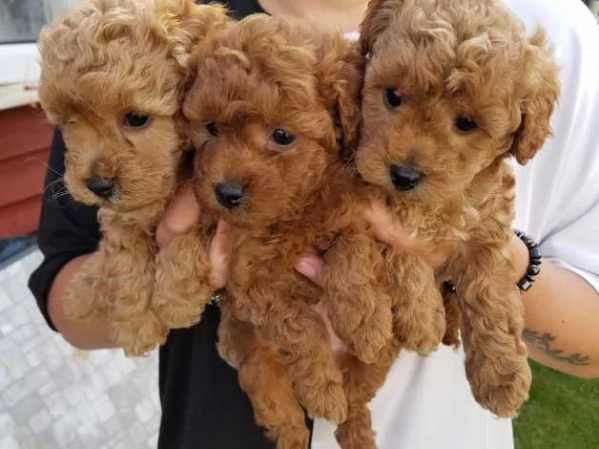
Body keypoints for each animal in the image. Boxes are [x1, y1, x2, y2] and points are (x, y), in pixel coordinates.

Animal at [38, 0, 230, 356]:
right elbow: (122, 257)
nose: (97, 185)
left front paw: (175, 300)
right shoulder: (120, 214)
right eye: (70, 122)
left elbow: (189, 235)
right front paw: (131, 320)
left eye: (137, 118)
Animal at [184, 14, 394, 448]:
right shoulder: (247, 284)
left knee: (359, 392)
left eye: (282, 135)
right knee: (279, 407)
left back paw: (357, 429)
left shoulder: (354, 216)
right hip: (258, 364)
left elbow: (352, 253)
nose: (225, 192)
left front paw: (364, 321)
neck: (294, 211)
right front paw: (322, 390)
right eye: (211, 128)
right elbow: (298, 323)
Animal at [350, 0, 560, 444]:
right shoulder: (364, 193)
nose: (404, 175)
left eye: (466, 123)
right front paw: (422, 319)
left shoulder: (488, 230)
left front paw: (502, 375)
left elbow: (490, 294)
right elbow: (401, 247)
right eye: (392, 96)